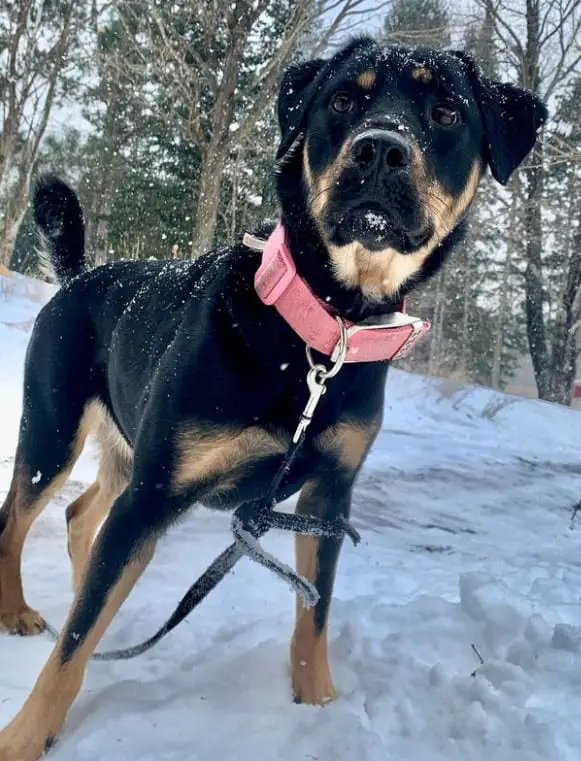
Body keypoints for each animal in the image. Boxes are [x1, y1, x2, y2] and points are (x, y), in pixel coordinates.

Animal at [0, 37, 544, 760]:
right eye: (341, 99)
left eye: (447, 111)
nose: (380, 150)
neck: (322, 332)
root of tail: (79, 276)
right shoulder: (156, 489)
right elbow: (69, 651)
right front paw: (23, 738)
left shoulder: (327, 496)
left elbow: (314, 613)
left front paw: (318, 706)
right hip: (54, 429)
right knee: (17, 521)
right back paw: (17, 608)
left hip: (122, 452)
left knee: (83, 518)